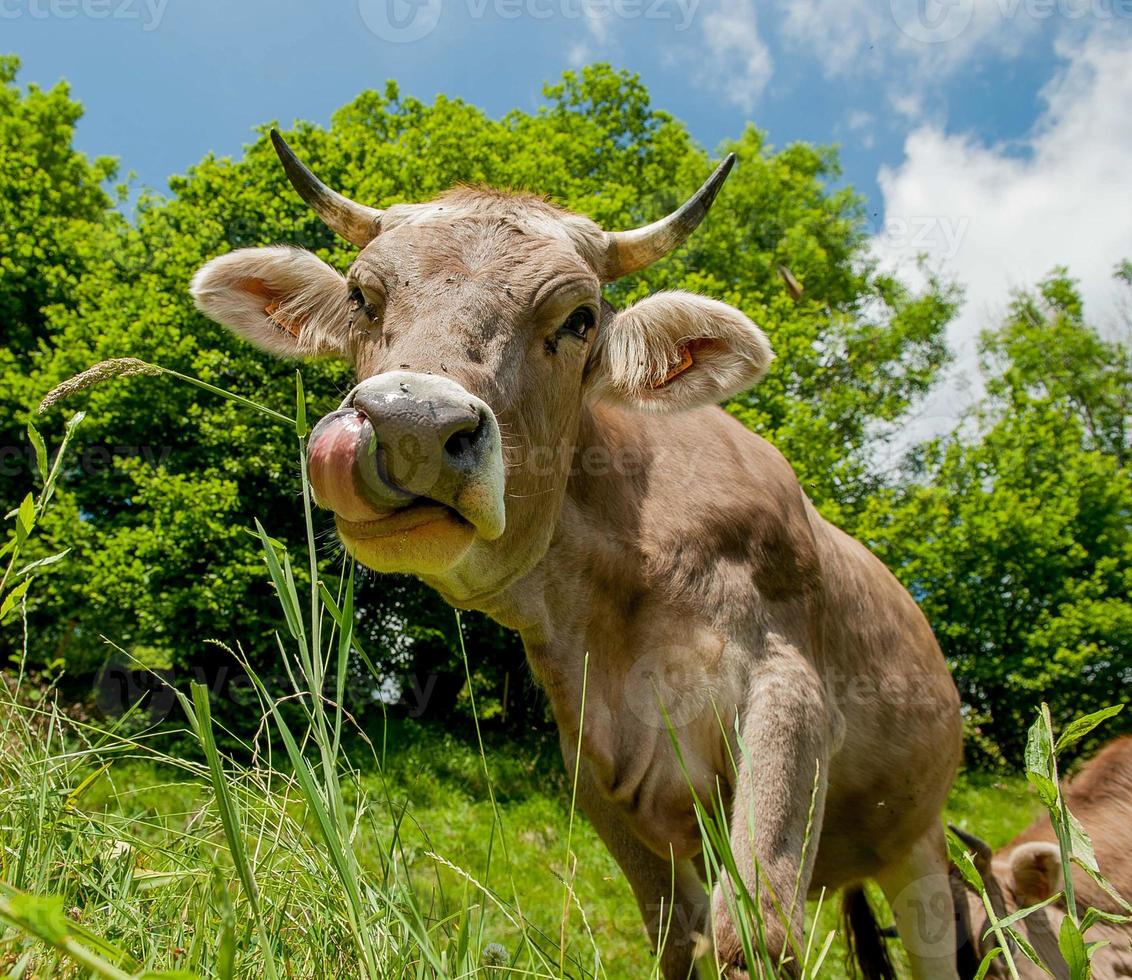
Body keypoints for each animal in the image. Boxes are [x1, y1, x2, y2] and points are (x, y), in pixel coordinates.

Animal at [192, 131, 964, 977]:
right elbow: (676, 928)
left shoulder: (790, 693)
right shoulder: (588, 757)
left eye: (580, 319)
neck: (623, 579)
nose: (413, 424)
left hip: (919, 843)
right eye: (364, 297)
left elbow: (755, 930)